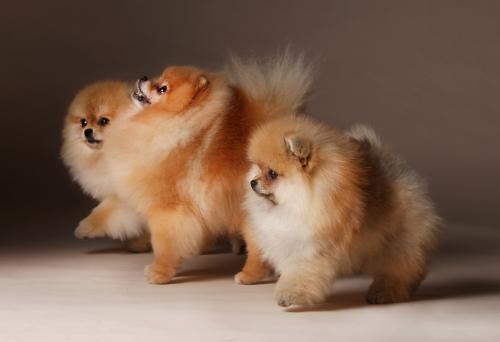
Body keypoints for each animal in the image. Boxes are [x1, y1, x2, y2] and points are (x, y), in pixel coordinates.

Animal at [61, 81, 150, 251]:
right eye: (83, 122)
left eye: (103, 121)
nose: (87, 131)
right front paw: (140, 244)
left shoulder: (125, 195)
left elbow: (104, 212)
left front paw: (84, 228)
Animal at [103, 52, 310, 284]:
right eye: (158, 78)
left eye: (162, 89)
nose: (144, 77)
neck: (174, 123)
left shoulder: (170, 210)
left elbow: (164, 244)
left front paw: (159, 273)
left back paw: (248, 276)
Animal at [244, 115, 440, 308]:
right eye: (257, 167)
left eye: (272, 173)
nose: (252, 182)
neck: (298, 201)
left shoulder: (310, 246)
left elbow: (299, 271)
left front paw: (288, 295)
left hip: (399, 237)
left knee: (399, 265)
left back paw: (385, 292)